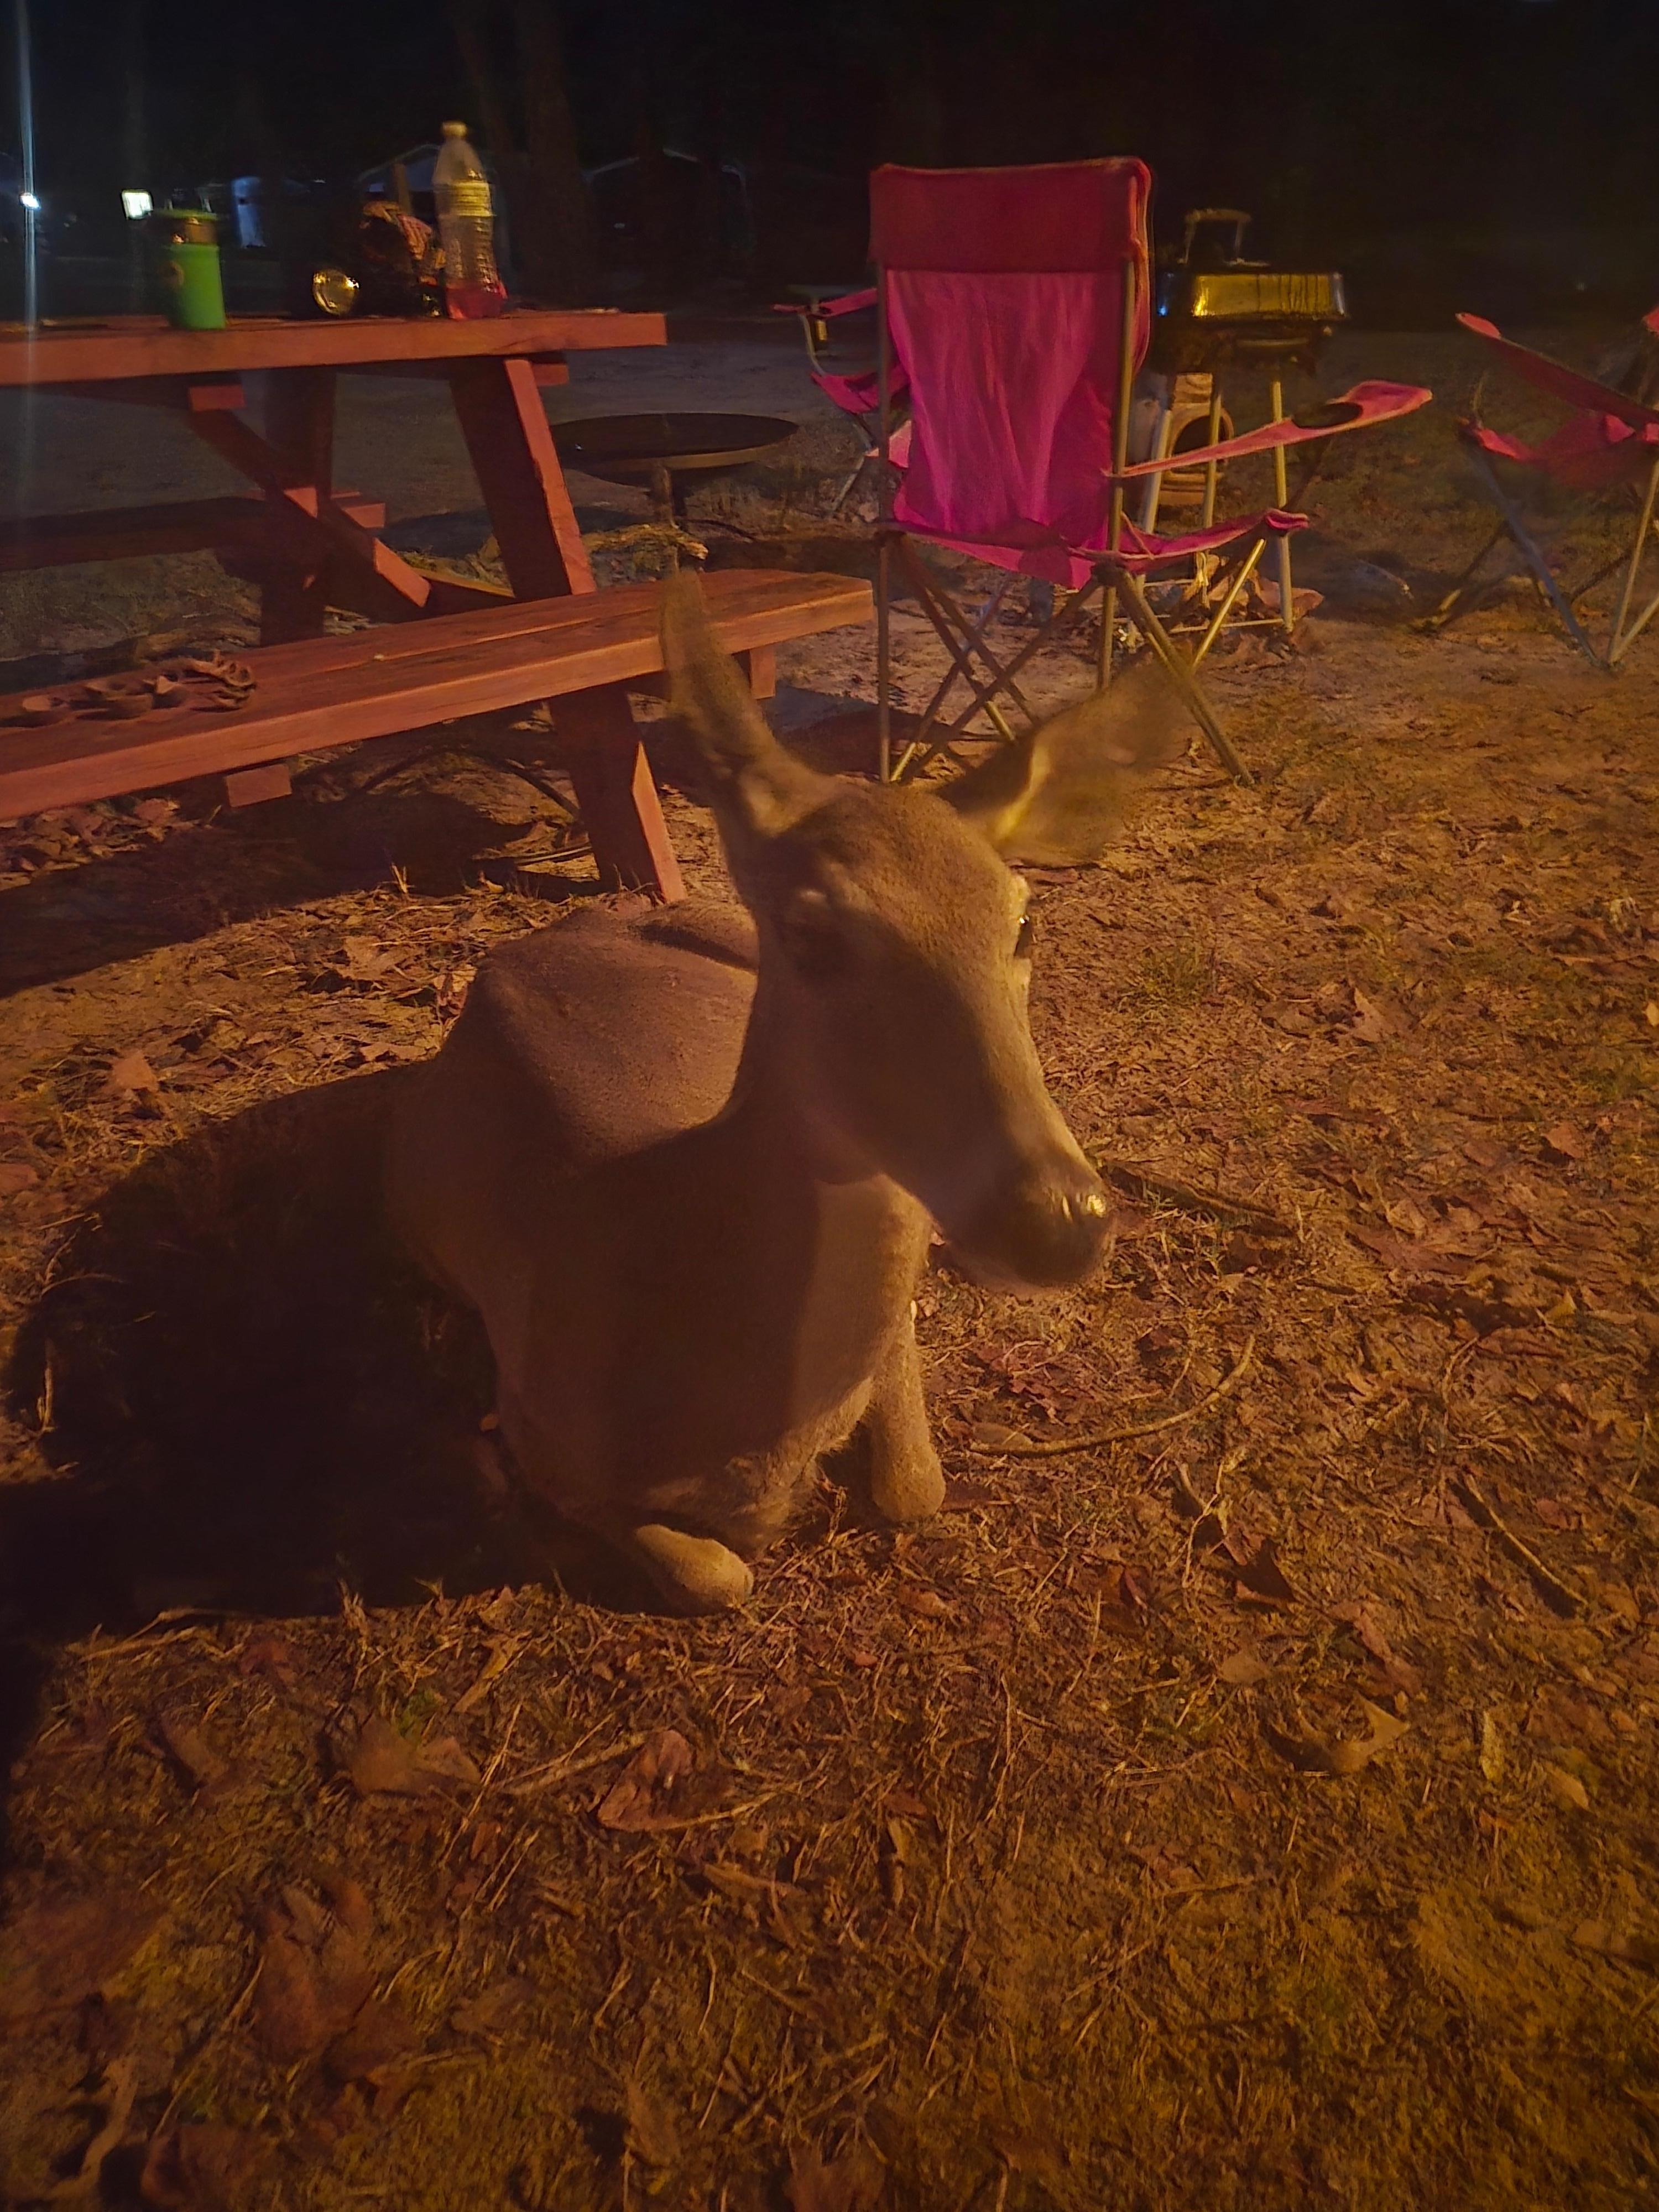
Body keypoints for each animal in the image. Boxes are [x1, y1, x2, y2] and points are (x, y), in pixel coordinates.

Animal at [386, 574, 1177, 1613]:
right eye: (811, 935)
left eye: (1024, 921)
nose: (1062, 1221)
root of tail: (523, 946)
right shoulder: (531, 1424)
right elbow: (718, 1575)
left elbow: (916, 1485)